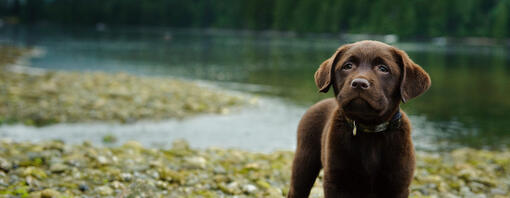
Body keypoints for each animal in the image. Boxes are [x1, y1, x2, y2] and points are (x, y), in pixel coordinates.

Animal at [286, 40, 430, 198]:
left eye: (383, 68)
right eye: (347, 66)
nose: (359, 83)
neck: (370, 130)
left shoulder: (398, 184)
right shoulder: (336, 181)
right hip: (304, 162)